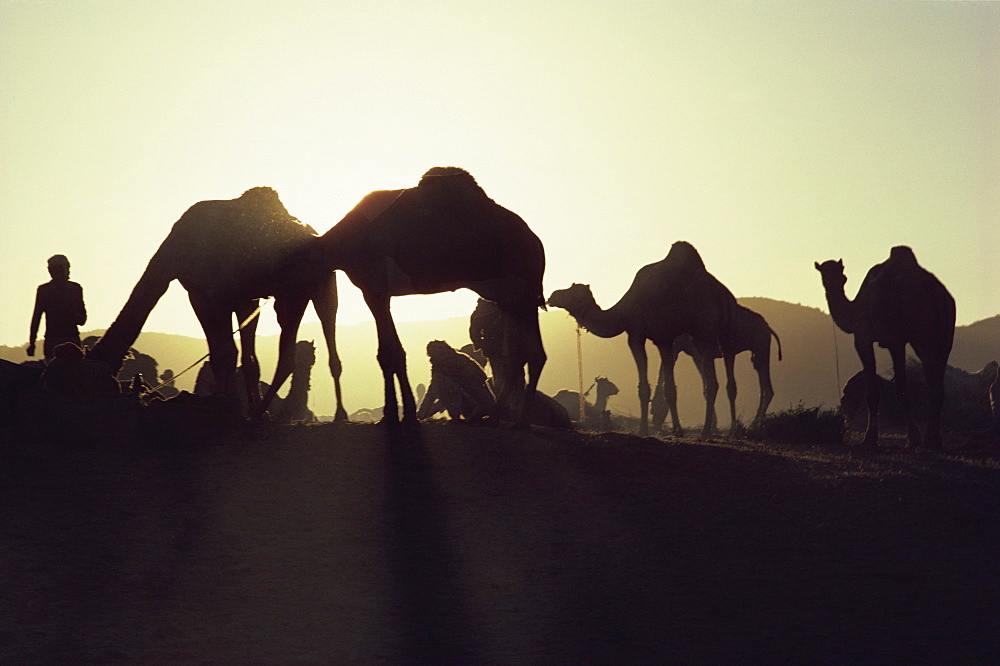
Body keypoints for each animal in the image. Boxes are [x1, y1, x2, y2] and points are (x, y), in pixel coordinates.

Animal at [90, 185, 348, 420]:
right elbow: (246, 359)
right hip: (313, 288)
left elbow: (225, 353)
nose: (108, 392)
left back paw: (338, 414)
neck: (173, 252)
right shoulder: (238, 299)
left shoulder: (209, 295)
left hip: (302, 291)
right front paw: (247, 408)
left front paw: (227, 404)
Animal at [548, 239, 736, 436]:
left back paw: (708, 431)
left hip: (704, 330)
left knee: (711, 381)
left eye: (572, 291)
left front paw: (645, 429)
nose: (552, 296)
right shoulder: (665, 340)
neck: (623, 312)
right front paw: (675, 429)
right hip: (722, 334)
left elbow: (650, 387)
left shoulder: (640, 335)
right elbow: (667, 387)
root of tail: (724, 296)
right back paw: (717, 431)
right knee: (718, 381)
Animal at [652, 304, 784, 428]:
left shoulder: (695, 351)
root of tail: (769, 329)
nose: (655, 423)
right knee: (764, 385)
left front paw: (713, 426)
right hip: (757, 352)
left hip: (761, 347)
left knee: (767, 388)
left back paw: (754, 424)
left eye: (655, 408)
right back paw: (754, 423)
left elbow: (705, 382)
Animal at [816, 246, 956, 448]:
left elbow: (879, 391)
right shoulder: (896, 341)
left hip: (921, 331)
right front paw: (912, 438)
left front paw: (871, 439)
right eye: (825, 276)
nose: (831, 284)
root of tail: (935, 293)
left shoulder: (868, 338)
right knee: (937, 383)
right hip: (945, 335)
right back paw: (933, 440)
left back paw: (927, 441)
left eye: (844, 278)